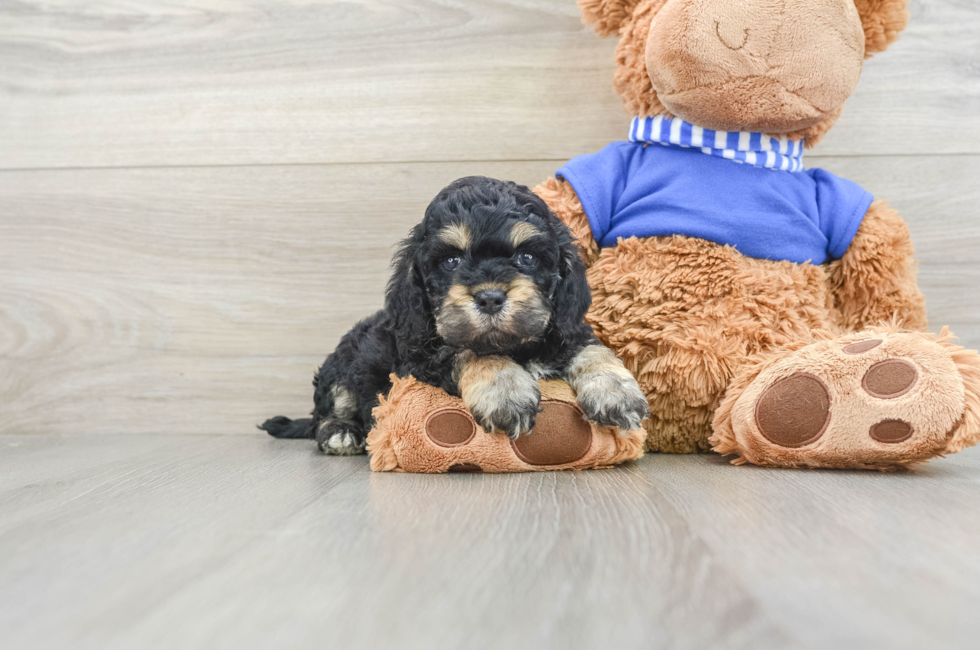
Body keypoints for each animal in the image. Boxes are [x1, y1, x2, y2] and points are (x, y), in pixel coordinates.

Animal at [258, 175, 652, 454]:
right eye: (451, 261)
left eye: (526, 257)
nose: (490, 297)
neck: (515, 345)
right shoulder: (420, 358)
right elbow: (470, 349)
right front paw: (504, 390)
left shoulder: (565, 329)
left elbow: (592, 349)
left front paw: (616, 391)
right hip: (343, 366)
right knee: (328, 410)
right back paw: (340, 433)